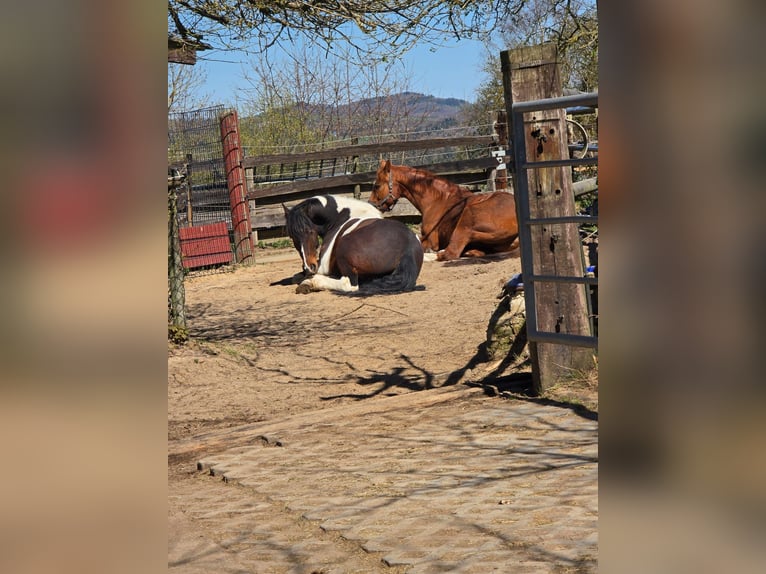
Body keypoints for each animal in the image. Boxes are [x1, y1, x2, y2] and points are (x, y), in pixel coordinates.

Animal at [283, 196, 424, 294]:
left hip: (343, 250)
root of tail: (408, 249)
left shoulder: (322, 267)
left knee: (349, 284)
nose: (308, 267)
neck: (338, 219)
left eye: (309, 231)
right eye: (292, 236)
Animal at [368, 160, 520, 262]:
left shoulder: (430, 241)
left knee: (449, 253)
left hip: (466, 218)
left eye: (377, 186)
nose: (371, 204)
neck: (438, 200)